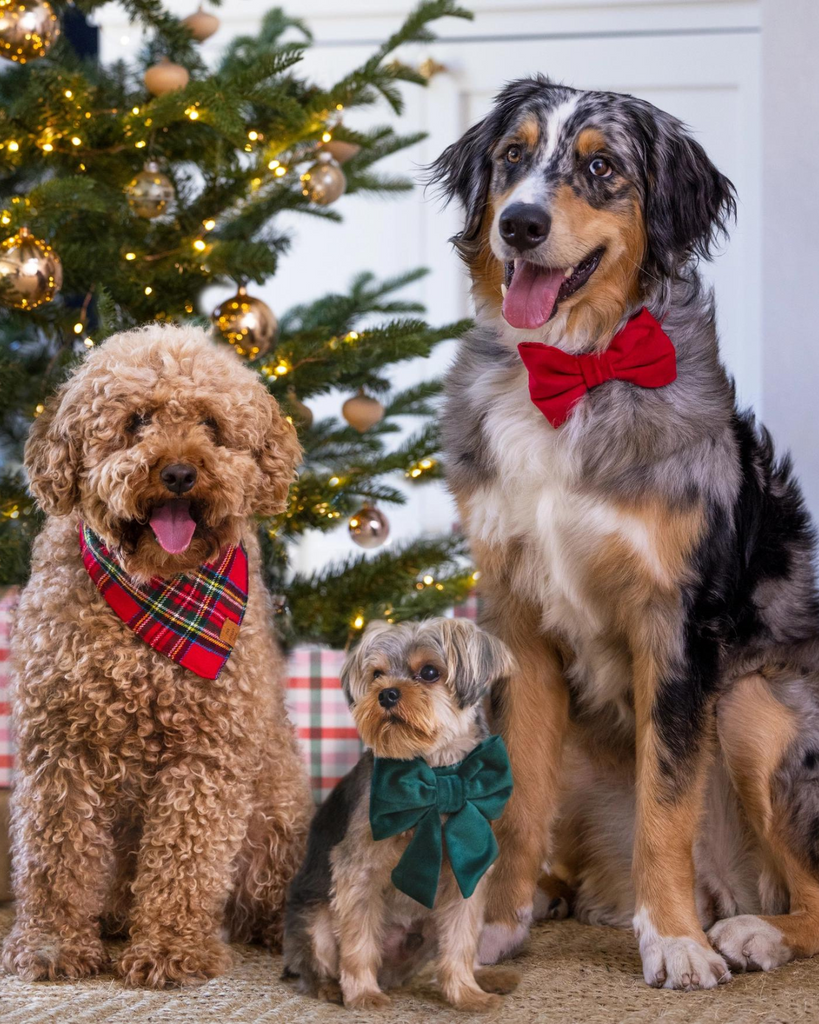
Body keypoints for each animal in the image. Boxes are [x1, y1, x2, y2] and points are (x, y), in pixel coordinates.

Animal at [2, 323, 313, 987]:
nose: (178, 473)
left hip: (277, 812)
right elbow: (54, 856)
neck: (159, 589)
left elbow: (183, 861)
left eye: (212, 425)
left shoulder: (206, 753)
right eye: (136, 421)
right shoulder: (61, 746)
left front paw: (170, 950)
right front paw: (52, 945)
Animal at [425, 79, 818, 991]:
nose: (519, 225)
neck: (575, 376)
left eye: (601, 167)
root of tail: (728, 884)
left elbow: (665, 804)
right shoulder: (517, 622)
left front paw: (673, 942)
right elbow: (519, 804)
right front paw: (494, 926)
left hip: (752, 701)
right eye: (511, 156)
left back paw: (747, 931)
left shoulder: (672, 623)